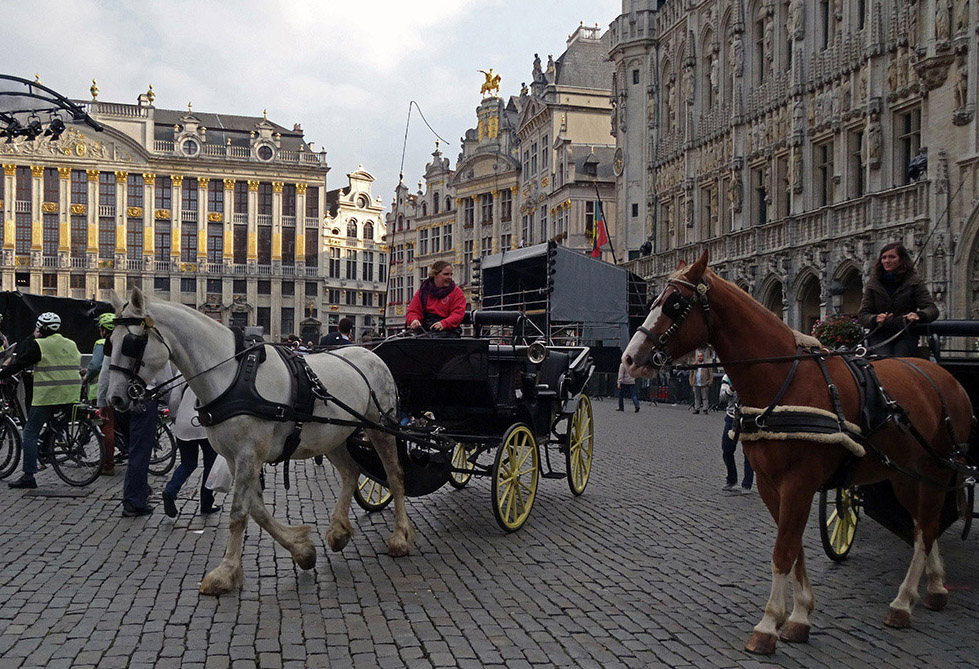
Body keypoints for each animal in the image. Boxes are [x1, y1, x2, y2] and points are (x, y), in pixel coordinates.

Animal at [106, 288, 414, 596]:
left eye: (132, 343)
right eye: (110, 341)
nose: (115, 398)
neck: (232, 375)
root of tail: (370, 353)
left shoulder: (248, 454)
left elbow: (239, 513)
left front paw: (225, 573)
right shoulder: (236, 458)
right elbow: (256, 509)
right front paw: (302, 550)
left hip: (381, 429)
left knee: (395, 476)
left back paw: (399, 537)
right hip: (334, 436)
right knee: (351, 473)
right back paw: (339, 532)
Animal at [620, 249, 972, 652]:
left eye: (674, 303)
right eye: (652, 301)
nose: (628, 359)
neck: (784, 381)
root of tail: (943, 375)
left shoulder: (799, 482)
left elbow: (783, 551)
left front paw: (768, 625)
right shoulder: (771, 484)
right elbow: (794, 546)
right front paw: (799, 616)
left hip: (934, 468)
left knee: (925, 528)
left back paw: (902, 601)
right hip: (904, 473)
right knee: (923, 525)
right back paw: (935, 587)